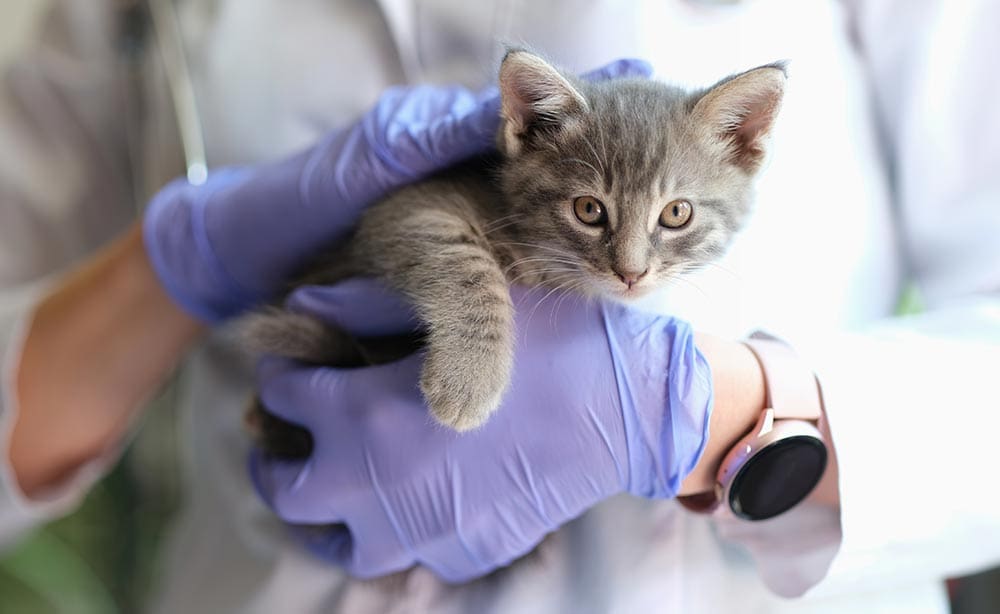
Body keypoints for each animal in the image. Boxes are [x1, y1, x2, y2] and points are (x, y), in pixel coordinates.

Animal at [246, 50, 784, 458]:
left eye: (676, 213)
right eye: (588, 209)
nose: (631, 273)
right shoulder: (407, 207)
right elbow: (465, 266)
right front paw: (468, 380)